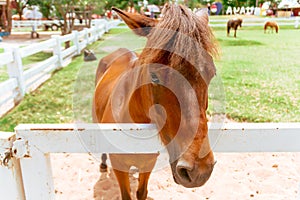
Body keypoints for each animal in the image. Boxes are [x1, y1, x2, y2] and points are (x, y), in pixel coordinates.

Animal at [92, 3, 217, 200]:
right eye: (154, 76)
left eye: (212, 73)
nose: (199, 171)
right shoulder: (119, 166)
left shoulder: (148, 164)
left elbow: (141, 192)